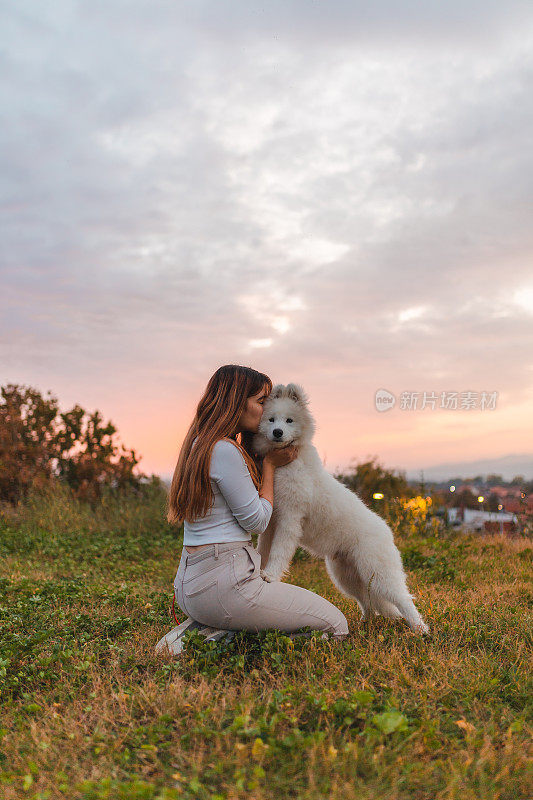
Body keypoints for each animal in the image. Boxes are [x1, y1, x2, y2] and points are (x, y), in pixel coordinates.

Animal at [251, 384, 430, 636]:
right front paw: (259, 571)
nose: (277, 432)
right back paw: (364, 625)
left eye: (289, 420)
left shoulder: (289, 518)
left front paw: (270, 575)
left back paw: (420, 629)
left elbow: (278, 551)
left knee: (403, 599)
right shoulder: (271, 520)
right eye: (271, 419)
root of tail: (387, 532)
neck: (284, 465)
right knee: (368, 602)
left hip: (379, 574)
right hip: (347, 576)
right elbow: (263, 549)